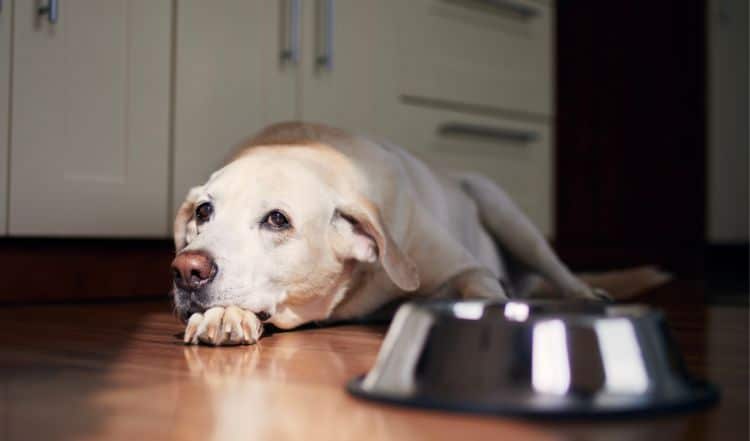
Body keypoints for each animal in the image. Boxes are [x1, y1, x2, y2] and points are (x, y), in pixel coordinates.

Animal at [170, 122, 604, 346]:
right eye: (204, 211)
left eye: (278, 220)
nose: (187, 269)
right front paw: (223, 315)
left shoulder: (467, 268)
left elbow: (481, 289)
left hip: (502, 208)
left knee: (557, 268)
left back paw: (587, 295)